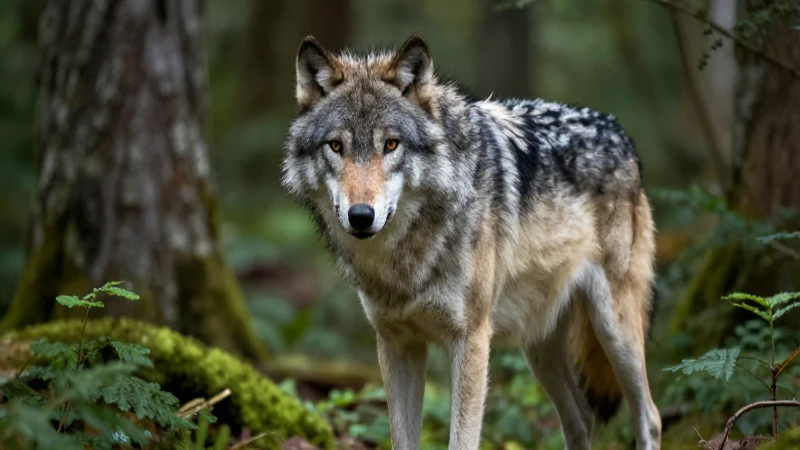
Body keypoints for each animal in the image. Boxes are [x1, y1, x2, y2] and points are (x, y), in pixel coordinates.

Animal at [282, 34, 661, 450]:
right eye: (336, 146)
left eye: (391, 145)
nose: (361, 216)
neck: (406, 260)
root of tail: (620, 132)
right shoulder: (397, 343)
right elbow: (402, 439)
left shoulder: (472, 340)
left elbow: (462, 440)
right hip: (539, 346)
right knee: (581, 418)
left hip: (614, 328)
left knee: (650, 416)